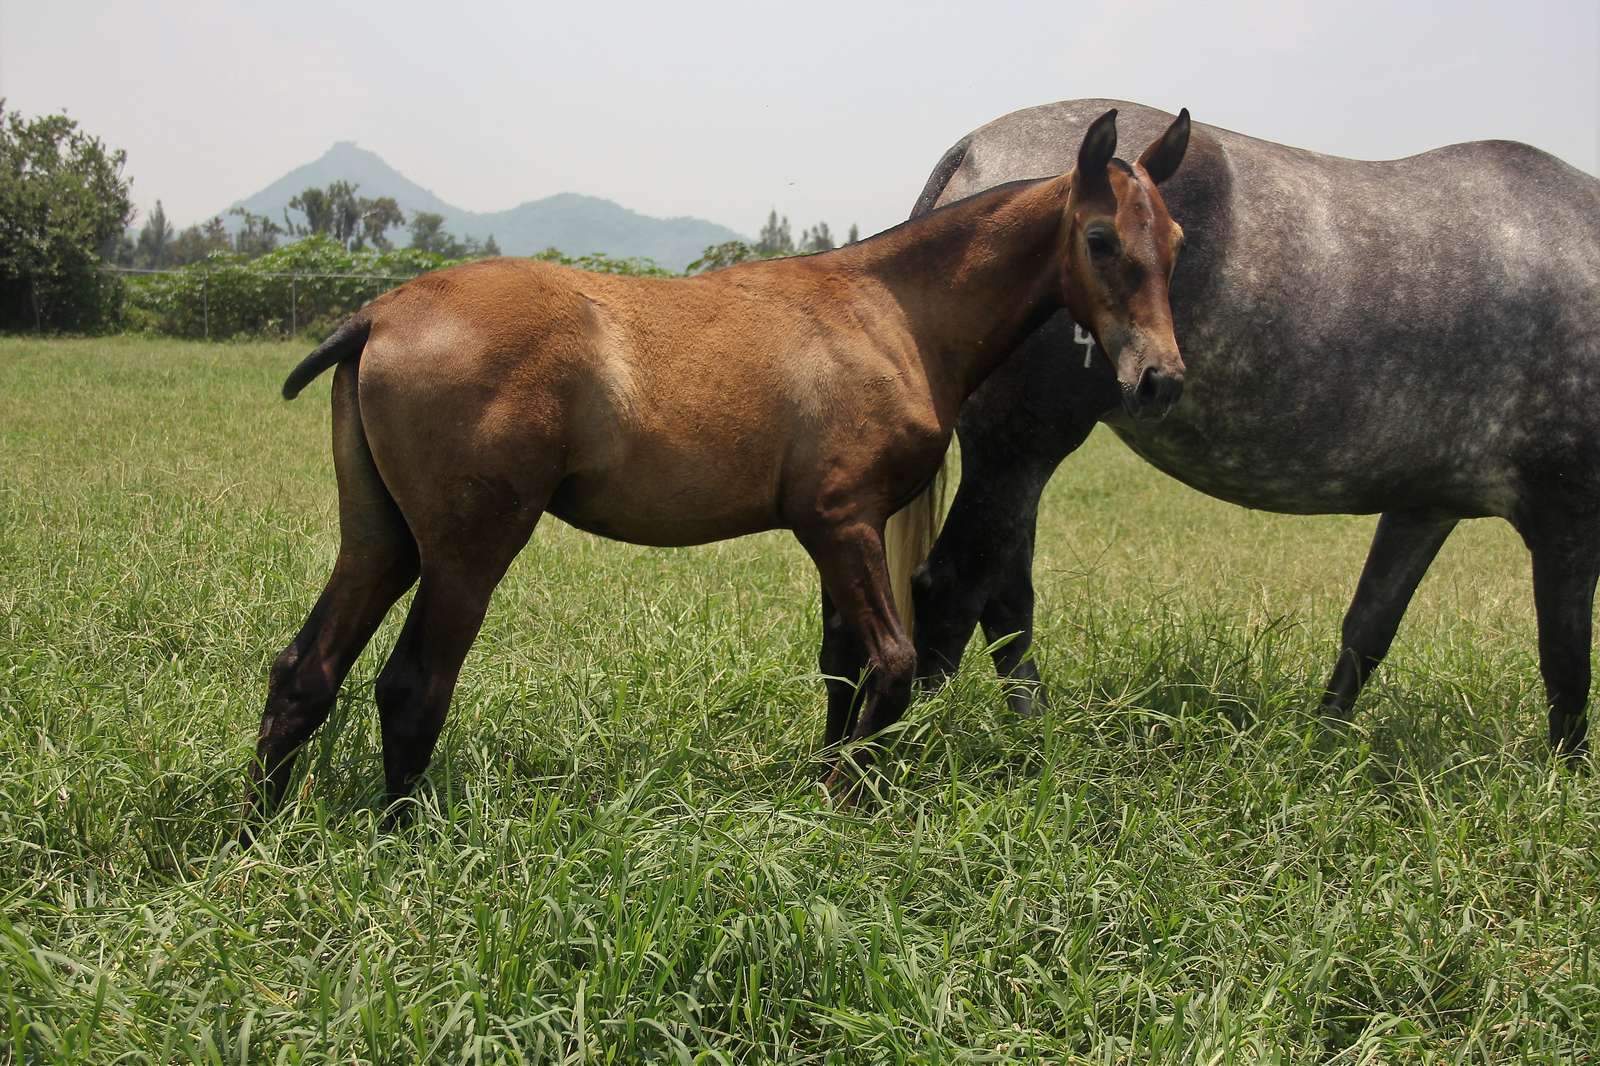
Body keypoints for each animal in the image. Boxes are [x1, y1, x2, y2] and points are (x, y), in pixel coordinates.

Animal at [245, 107, 1195, 821]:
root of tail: (377, 314)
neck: (892, 314)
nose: (1161, 380)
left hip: (383, 538)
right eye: (1101, 238)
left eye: (1179, 241)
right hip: (467, 548)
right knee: (413, 686)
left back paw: (261, 834)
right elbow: (889, 664)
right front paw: (838, 799)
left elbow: (842, 663)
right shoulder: (842, 519)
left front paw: (824, 785)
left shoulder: (837, 527)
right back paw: (404, 837)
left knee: (304, 673)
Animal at [903, 99, 1600, 756]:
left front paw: (1320, 751)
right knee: (954, 588)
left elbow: (1368, 631)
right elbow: (1567, 671)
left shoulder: (1425, 507)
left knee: (1003, 600)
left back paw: (1034, 734)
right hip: (1019, 449)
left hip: (1020, 457)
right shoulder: (1567, 518)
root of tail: (973, 148)